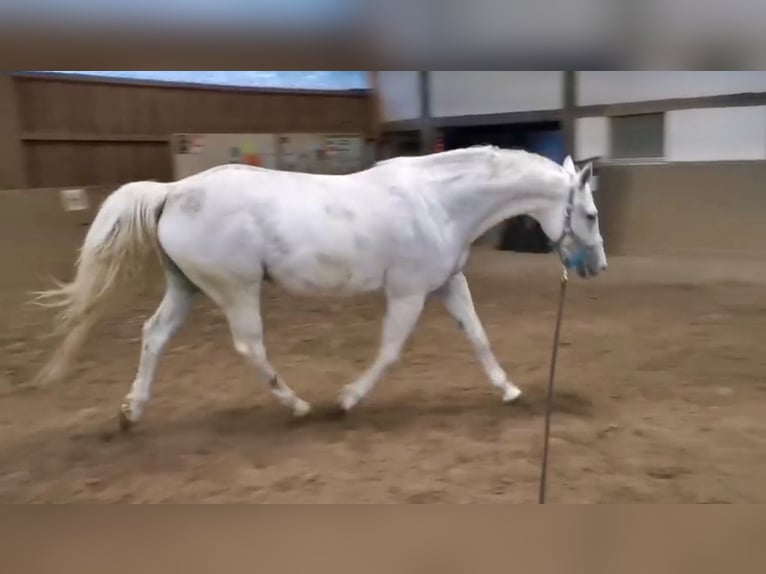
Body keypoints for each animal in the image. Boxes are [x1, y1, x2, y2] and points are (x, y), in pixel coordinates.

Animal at [32, 146, 606, 429]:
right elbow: (390, 350)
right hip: (237, 289)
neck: (438, 202)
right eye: (592, 214)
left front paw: (508, 390)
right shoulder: (408, 293)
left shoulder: (447, 283)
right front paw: (347, 400)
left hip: (186, 288)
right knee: (250, 347)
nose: (596, 267)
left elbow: (479, 336)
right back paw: (299, 407)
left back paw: (132, 412)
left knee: (154, 335)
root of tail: (173, 192)